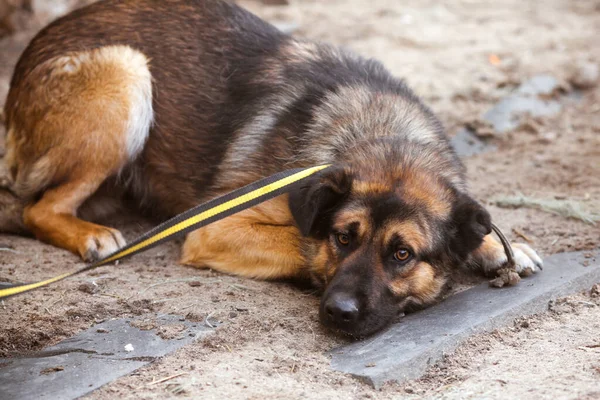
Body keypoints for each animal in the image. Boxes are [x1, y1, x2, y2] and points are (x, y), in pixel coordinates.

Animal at [0, 0, 544, 338]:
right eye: (343, 237)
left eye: (403, 254)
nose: (338, 313)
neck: (379, 132)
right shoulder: (214, 228)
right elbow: (301, 246)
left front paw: (497, 245)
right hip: (127, 73)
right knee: (36, 209)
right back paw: (91, 234)